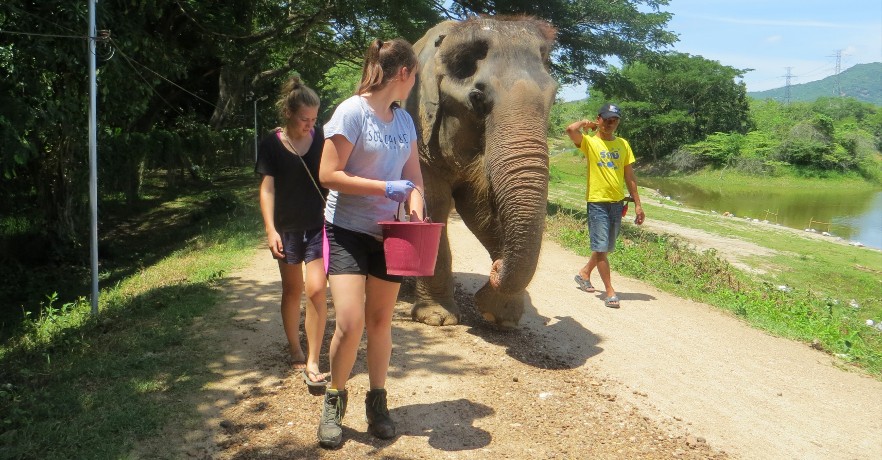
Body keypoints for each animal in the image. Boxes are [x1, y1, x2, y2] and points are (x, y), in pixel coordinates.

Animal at [404, 16, 556, 328]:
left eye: (554, 98)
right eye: (477, 98)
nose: (497, 266)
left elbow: (478, 211)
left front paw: (500, 317)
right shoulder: (417, 127)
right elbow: (433, 203)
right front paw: (437, 319)